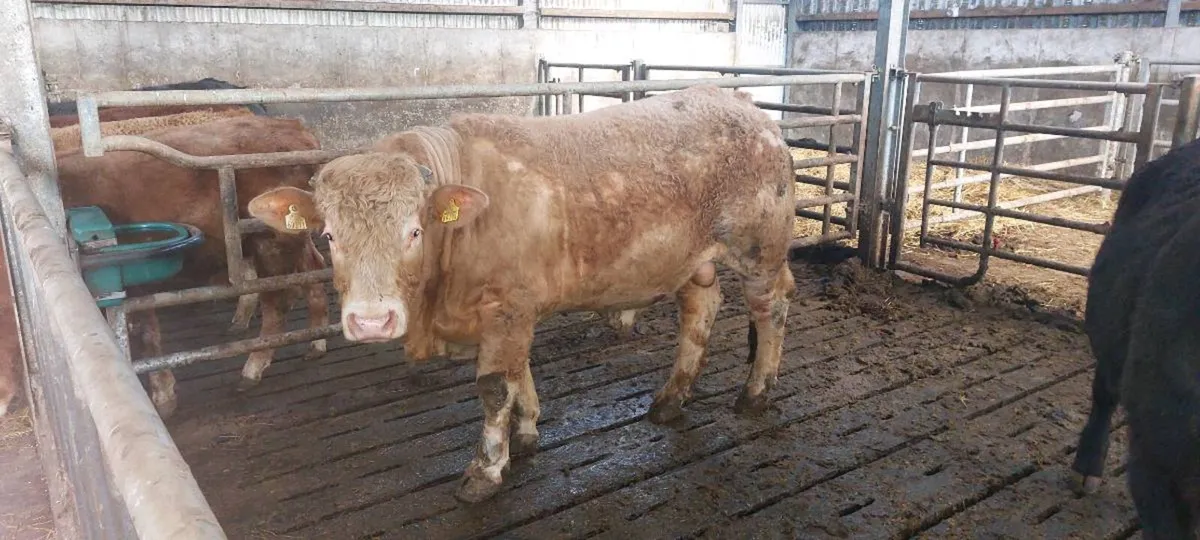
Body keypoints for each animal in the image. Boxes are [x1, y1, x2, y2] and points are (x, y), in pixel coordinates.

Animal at [55, 114, 331, 417]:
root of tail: (290, 124)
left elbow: (145, 335)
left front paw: (163, 397)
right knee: (312, 269)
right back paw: (316, 343)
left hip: (270, 243)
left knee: (276, 304)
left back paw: (252, 370)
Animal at [247, 84, 797, 503]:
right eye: (329, 236)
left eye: (414, 231)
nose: (369, 321)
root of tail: (745, 106)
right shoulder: (513, 309)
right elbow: (516, 372)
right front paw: (527, 429)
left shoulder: (507, 304)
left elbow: (494, 385)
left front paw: (487, 469)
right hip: (691, 263)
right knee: (700, 309)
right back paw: (671, 397)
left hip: (761, 251)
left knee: (771, 307)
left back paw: (755, 392)